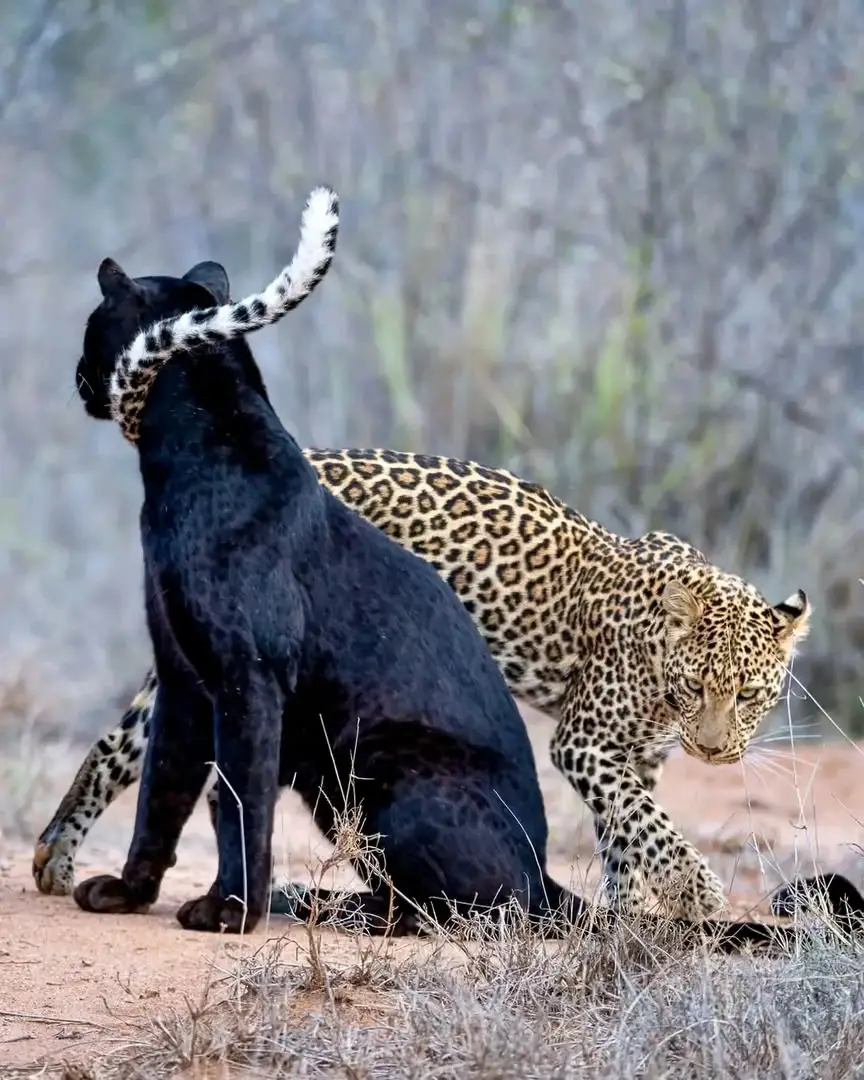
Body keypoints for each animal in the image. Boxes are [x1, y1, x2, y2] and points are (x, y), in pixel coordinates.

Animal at [35, 440, 810, 921]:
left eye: (748, 695)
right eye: (698, 687)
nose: (714, 751)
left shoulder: (634, 757)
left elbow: (627, 833)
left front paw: (631, 911)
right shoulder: (587, 742)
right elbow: (652, 826)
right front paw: (695, 896)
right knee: (127, 747)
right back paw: (61, 858)